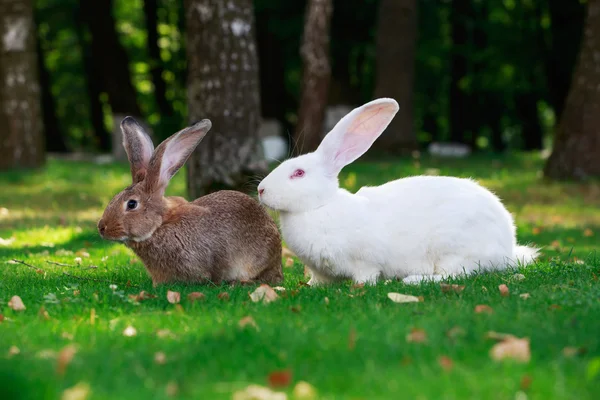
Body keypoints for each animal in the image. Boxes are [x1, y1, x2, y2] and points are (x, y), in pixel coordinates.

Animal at [258, 98, 540, 284]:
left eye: (298, 173)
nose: (261, 190)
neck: (320, 206)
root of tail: (507, 248)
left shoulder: (365, 261)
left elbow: (366, 276)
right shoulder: (320, 271)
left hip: (456, 251)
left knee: (453, 274)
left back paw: (413, 280)